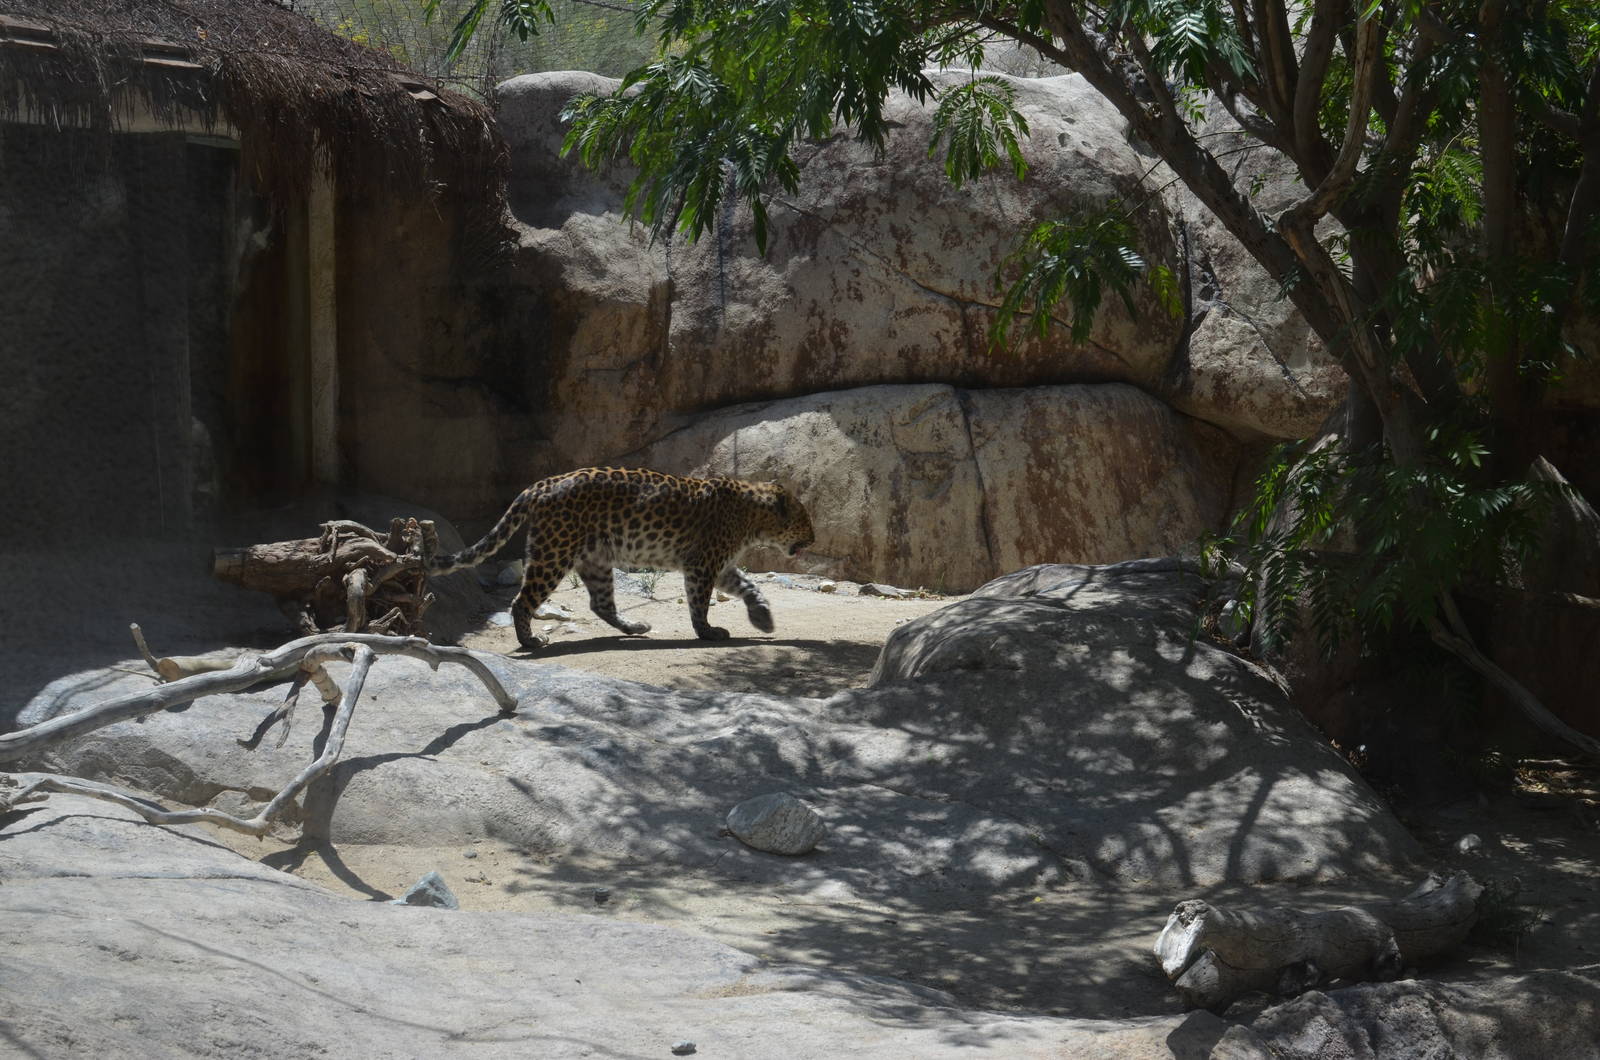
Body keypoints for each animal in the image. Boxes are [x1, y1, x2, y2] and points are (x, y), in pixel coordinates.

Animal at [429, 467, 814, 650]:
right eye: (806, 520)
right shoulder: (703, 564)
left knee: (601, 604)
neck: (753, 516)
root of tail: (541, 483)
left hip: (595, 559)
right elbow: (699, 603)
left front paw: (763, 617)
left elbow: (749, 586)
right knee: (522, 601)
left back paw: (635, 628)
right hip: (554, 553)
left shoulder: (718, 565)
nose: (813, 539)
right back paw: (531, 642)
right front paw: (707, 632)